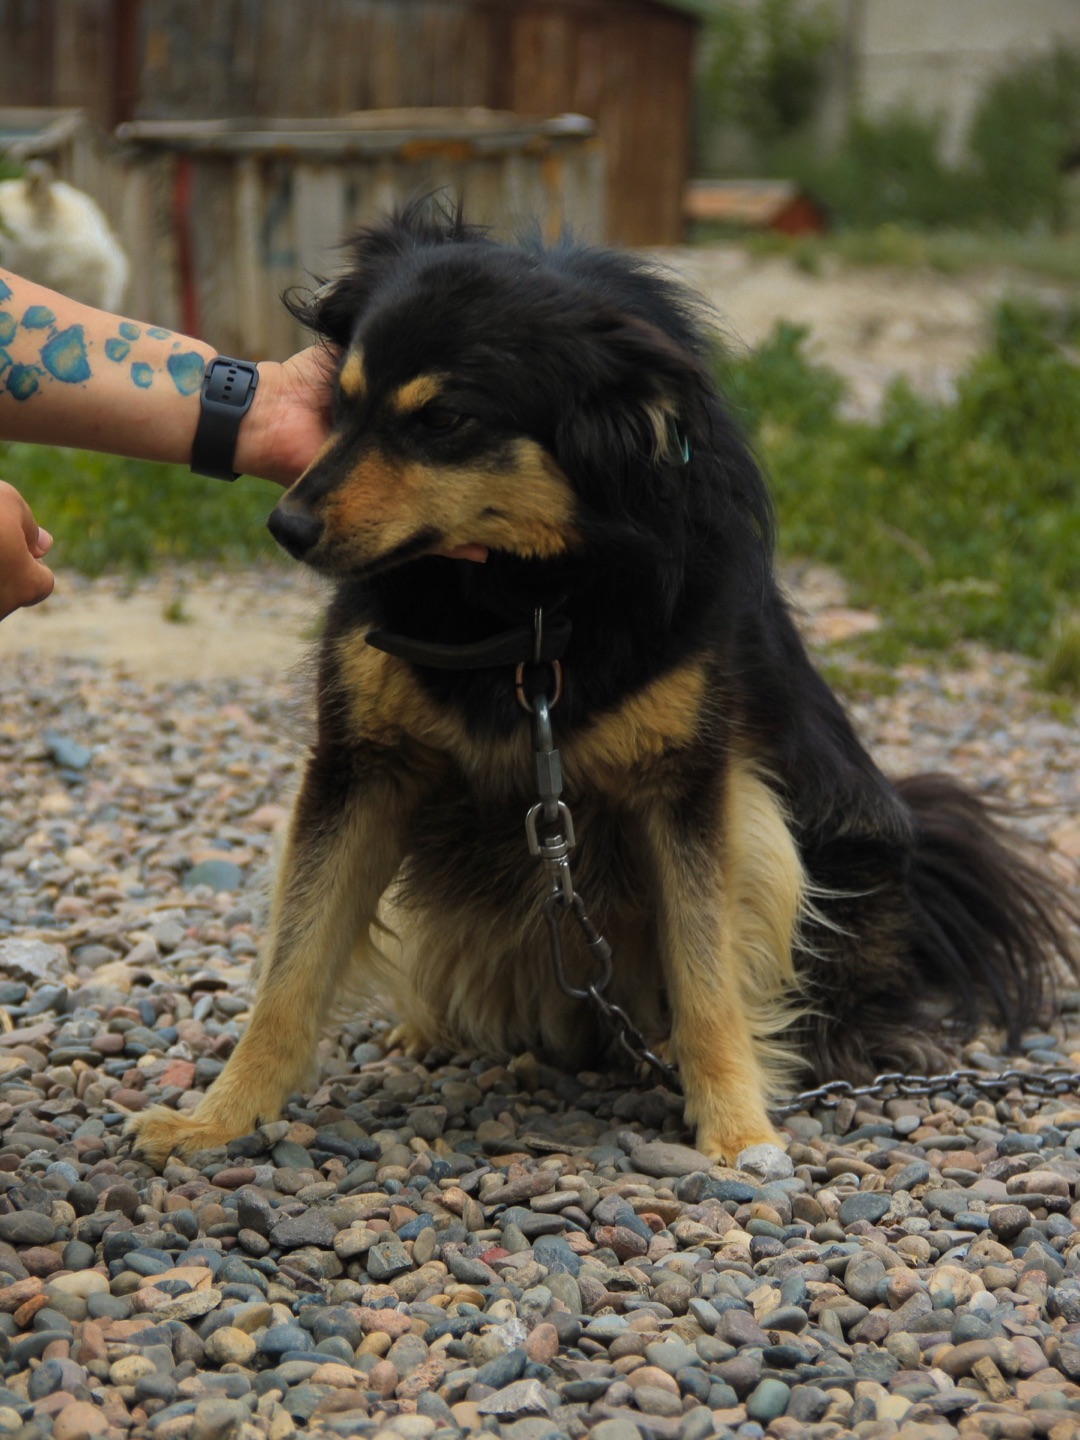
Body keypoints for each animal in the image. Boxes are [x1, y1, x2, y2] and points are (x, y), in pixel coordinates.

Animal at [129, 205, 1075, 1166]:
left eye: (446, 419)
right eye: (343, 400)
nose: (285, 526)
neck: (526, 600)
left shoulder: (688, 785)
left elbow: (707, 976)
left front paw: (737, 1127)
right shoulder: (360, 765)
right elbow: (293, 962)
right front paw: (222, 1115)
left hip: (815, 844)